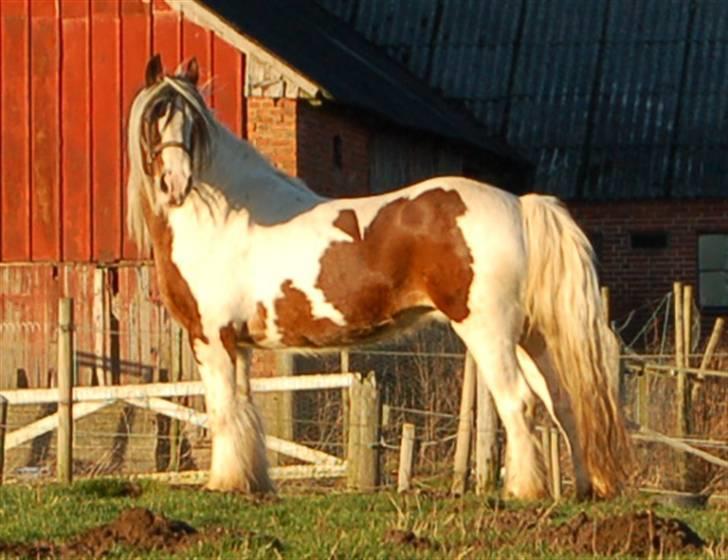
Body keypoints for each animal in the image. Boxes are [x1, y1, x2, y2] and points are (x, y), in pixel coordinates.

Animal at [125, 53, 632, 498]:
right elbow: (245, 410)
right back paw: (585, 488)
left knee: (519, 402)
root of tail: (518, 204)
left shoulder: (212, 338)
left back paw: (524, 491)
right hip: (531, 335)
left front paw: (225, 484)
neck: (224, 215)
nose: (174, 184)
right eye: (154, 120)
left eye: (192, 124)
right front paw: (252, 482)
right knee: (562, 402)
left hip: (487, 332)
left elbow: (224, 411)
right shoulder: (239, 345)